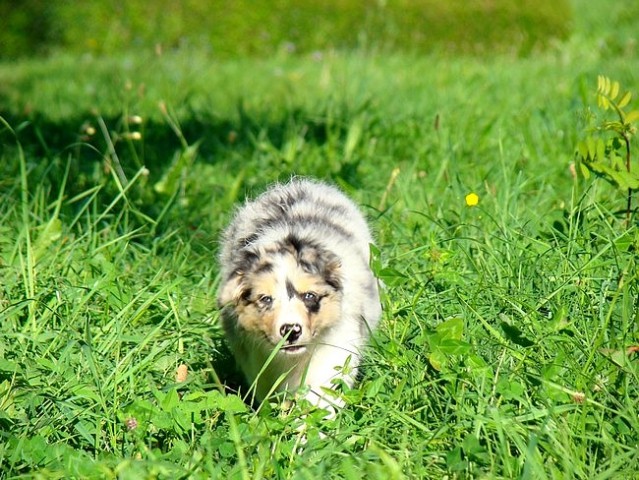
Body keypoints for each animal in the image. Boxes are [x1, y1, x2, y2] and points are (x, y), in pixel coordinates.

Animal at [218, 178, 382, 410]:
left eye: (309, 296)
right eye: (265, 299)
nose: (290, 331)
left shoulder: (337, 345)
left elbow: (322, 395)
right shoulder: (257, 362)